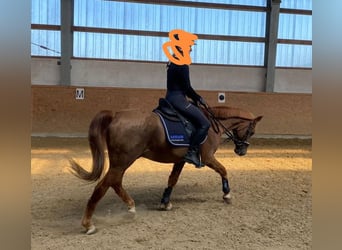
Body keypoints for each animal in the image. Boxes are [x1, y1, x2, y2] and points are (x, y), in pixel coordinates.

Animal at [69, 104, 262, 233]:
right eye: (251, 131)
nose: (241, 151)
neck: (212, 125)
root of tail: (116, 115)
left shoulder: (181, 160)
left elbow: (172, 179)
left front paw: (165, 202)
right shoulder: (208, 158)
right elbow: (223, 170)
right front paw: (227, 194)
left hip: (121, 162)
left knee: (115, 183)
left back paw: (130, 206)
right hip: (122, 161)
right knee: (103, 186)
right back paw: (88, 224)